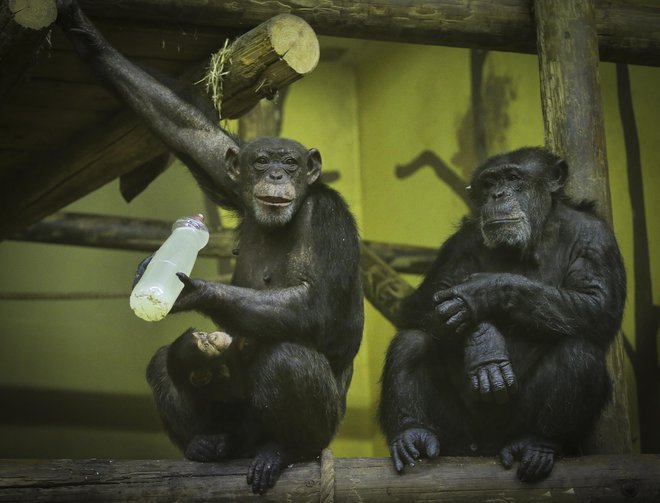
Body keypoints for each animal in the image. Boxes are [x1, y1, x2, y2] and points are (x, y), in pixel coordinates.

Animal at [55, 0, 366, 494]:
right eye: (261, 161)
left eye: (291, 162)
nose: (275, 174)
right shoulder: (231, 179)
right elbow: (188, 131)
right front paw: (86, 34)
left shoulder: (328, 219)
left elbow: (315, 304)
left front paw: (187, 290)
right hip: (229, 427)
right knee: (161, 363)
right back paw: (204, 444)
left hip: (320, 432)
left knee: (288, 360)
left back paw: (282, 451)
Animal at [378, 148, 628, 482]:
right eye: (489, 183)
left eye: (512, 178)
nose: (498, 195)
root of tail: (486, 447)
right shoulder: (460, 243)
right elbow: (424, 303)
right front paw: (483, 342)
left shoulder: (595, 237)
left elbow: (597, 303)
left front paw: (483, 291)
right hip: (457, 435)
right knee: (411, 342)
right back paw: (412, 435)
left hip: (515, 427)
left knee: (579, 351)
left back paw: (537, 444)